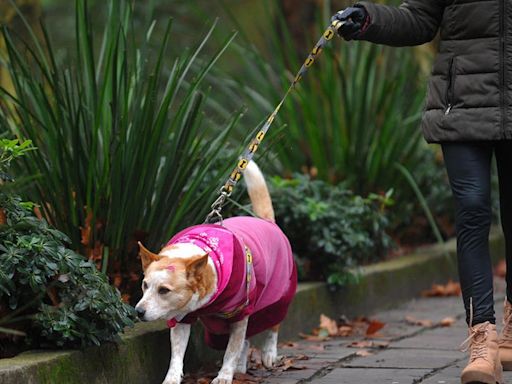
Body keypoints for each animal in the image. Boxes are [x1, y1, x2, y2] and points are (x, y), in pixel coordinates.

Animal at [134, 162, 298, 384]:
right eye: (144, 285)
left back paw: (269, 353)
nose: (138, 311)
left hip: (278, 293)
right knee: (244, 340)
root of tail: (267, 222)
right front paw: (172, 377)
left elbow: (231, 350)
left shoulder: (240, 312)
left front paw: (224, 376)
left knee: (272, 325)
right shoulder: (182, 317)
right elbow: (177, 353)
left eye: (164, 290)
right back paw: (241, 366)